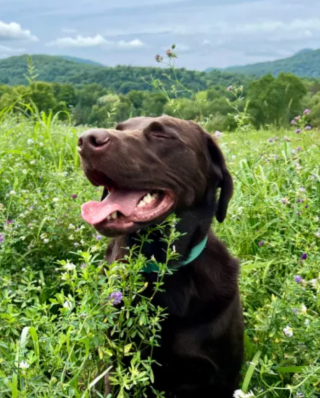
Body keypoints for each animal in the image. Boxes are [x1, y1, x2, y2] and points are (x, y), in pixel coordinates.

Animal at [79, 116, 244, 398]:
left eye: (163, 135)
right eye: (119, 128)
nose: (86, 140)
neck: (160, 269)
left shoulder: (223, 377)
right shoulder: (118, 367)